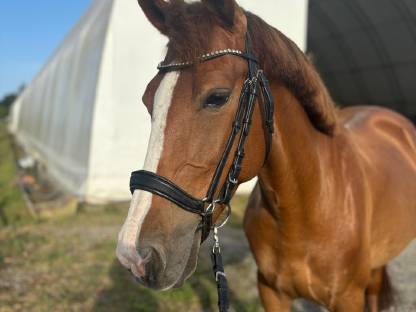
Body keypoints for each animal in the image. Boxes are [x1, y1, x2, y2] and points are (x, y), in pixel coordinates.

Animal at [115, 1, 416, 310]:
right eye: (148, 98)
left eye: (217, 97)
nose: (133, 253)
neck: (303, 212)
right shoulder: (270, 290)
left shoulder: (348, 298)